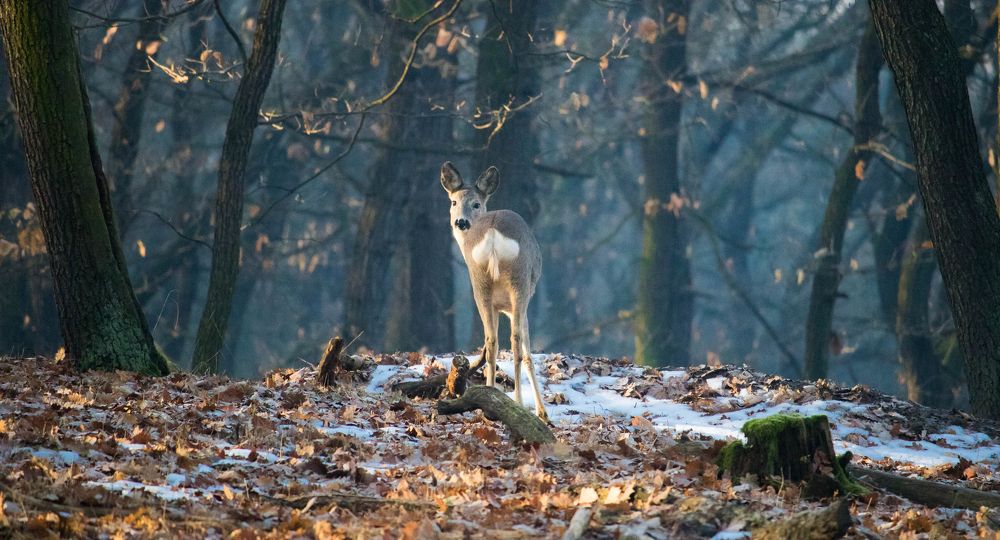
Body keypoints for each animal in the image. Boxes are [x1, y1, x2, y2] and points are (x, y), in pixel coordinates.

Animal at [440, 161, 548, 422]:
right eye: (453, 202)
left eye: (476, 204)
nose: (461, 222)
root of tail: (491, 235)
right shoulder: (516, 305)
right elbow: (528, 354)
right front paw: (543, 411)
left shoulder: (499, 306)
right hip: (519, 281)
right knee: (515, 341)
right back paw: (518, 402)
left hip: (479, 282)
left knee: (491, 341)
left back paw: (489, 398)